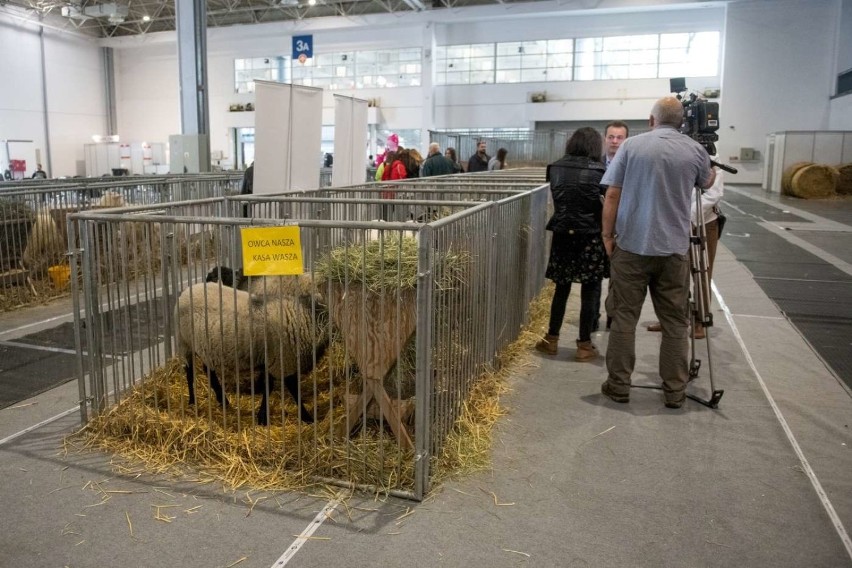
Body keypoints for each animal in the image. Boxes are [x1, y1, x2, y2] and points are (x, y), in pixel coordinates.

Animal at [175, 276, 328, 426]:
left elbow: (268, 386)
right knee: (189, 373)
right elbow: (292, 390)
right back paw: (192, 401)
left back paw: (223, 400)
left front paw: (262, 416)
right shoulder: (283, 361)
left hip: (207, 348)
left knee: (209, 372)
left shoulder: (272, 361)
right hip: (185, 343)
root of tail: (186, 291)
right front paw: (307, 418)